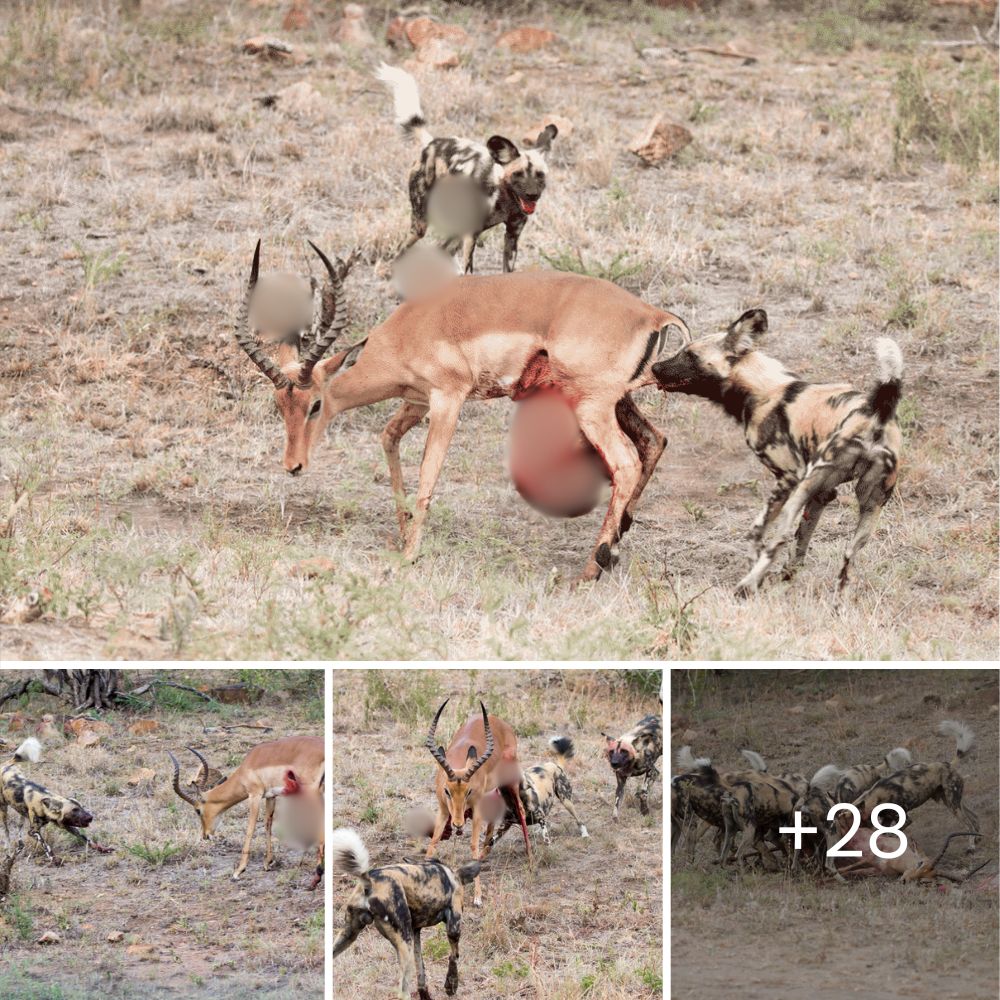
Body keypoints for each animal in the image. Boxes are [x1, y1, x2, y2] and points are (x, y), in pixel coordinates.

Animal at [332, 828, 480, 1000]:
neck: (453, 876)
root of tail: (368, 880)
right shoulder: (454, 927)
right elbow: (454, 956)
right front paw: (451, 985)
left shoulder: (415, 932)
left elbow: (421, 970)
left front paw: (425, 995)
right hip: (405, 944)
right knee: (402, 991)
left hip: (349, 935)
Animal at [378, 63, 560, 274]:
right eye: (517, 174)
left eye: (540, 175)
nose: (532, 195)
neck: (503, 198)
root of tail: (431, 143)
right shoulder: (471, 235)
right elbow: (469, 270)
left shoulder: (512, 236)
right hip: (420, 225)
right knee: (403, 250)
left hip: (456, 227)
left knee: (443, 248)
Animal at [652, 308, 904, 596]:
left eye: (690, 354)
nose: (654, 367)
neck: (764, 389)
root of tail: (877, 412)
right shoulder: (823, 493)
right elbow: (801, 541)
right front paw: (788, 576)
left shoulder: (788, 478)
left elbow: (757, 531)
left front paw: (755, 568)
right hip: (870, 505)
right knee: (849, 557)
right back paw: (835, 600)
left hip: (803, 489)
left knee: (781, 536)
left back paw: (746, 585)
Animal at [852, 720, 984, 852]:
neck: (874, 798)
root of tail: (948, 765)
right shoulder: (886, 820)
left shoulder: (905, 820)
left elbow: (890, 834)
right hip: (951, 803)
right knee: (974, 817)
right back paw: (977, 839)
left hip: (953, 804)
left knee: (969, 823)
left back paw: (971, 846)